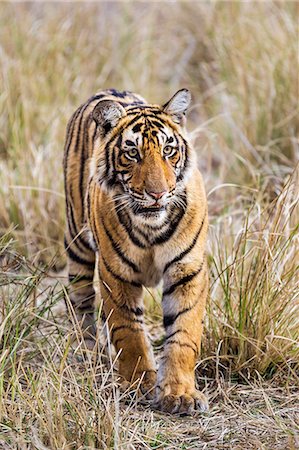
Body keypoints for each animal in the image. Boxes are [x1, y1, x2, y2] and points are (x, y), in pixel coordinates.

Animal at [63, 88, 210, 414]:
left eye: (168, 150)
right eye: (132, 153)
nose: (157, 193)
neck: (151, 227)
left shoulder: (187, 271)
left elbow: (184, 333)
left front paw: (180, 394)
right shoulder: (116, 273)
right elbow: (129, 331)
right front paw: (139, 384)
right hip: (77, 244)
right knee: (81, 302)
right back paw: (89, 350)